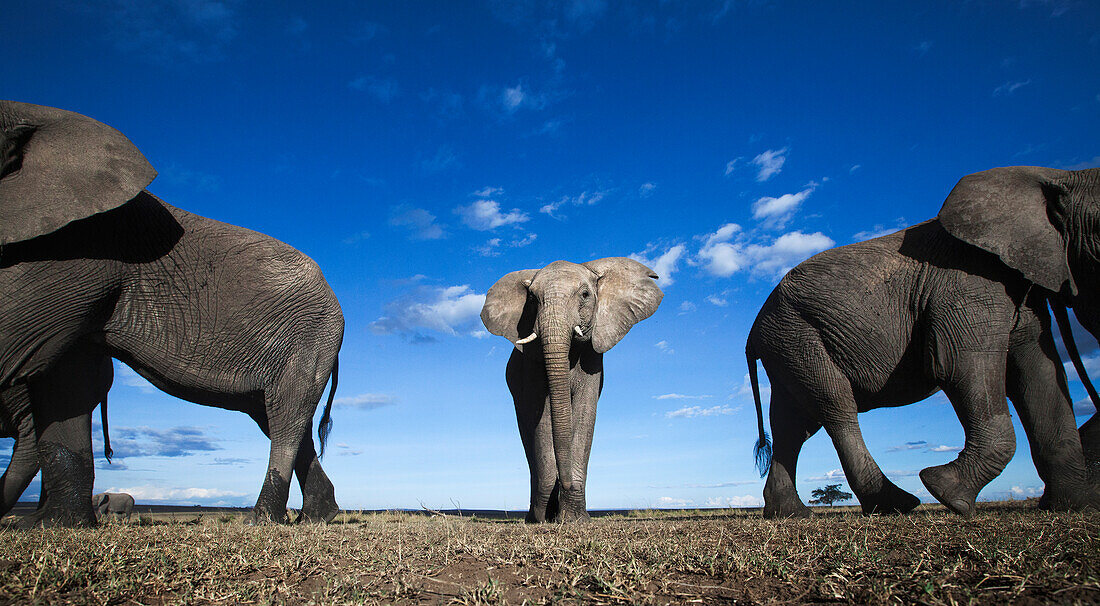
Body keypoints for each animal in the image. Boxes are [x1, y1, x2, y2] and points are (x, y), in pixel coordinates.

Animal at [0, 99, 343, 525]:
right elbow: (67, 379)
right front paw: (52, 526)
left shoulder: (80, 252)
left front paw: (47, 526)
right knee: (275, 416)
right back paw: (318, 516)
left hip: (309, 337)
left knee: (287, 419)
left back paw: (262, 519)